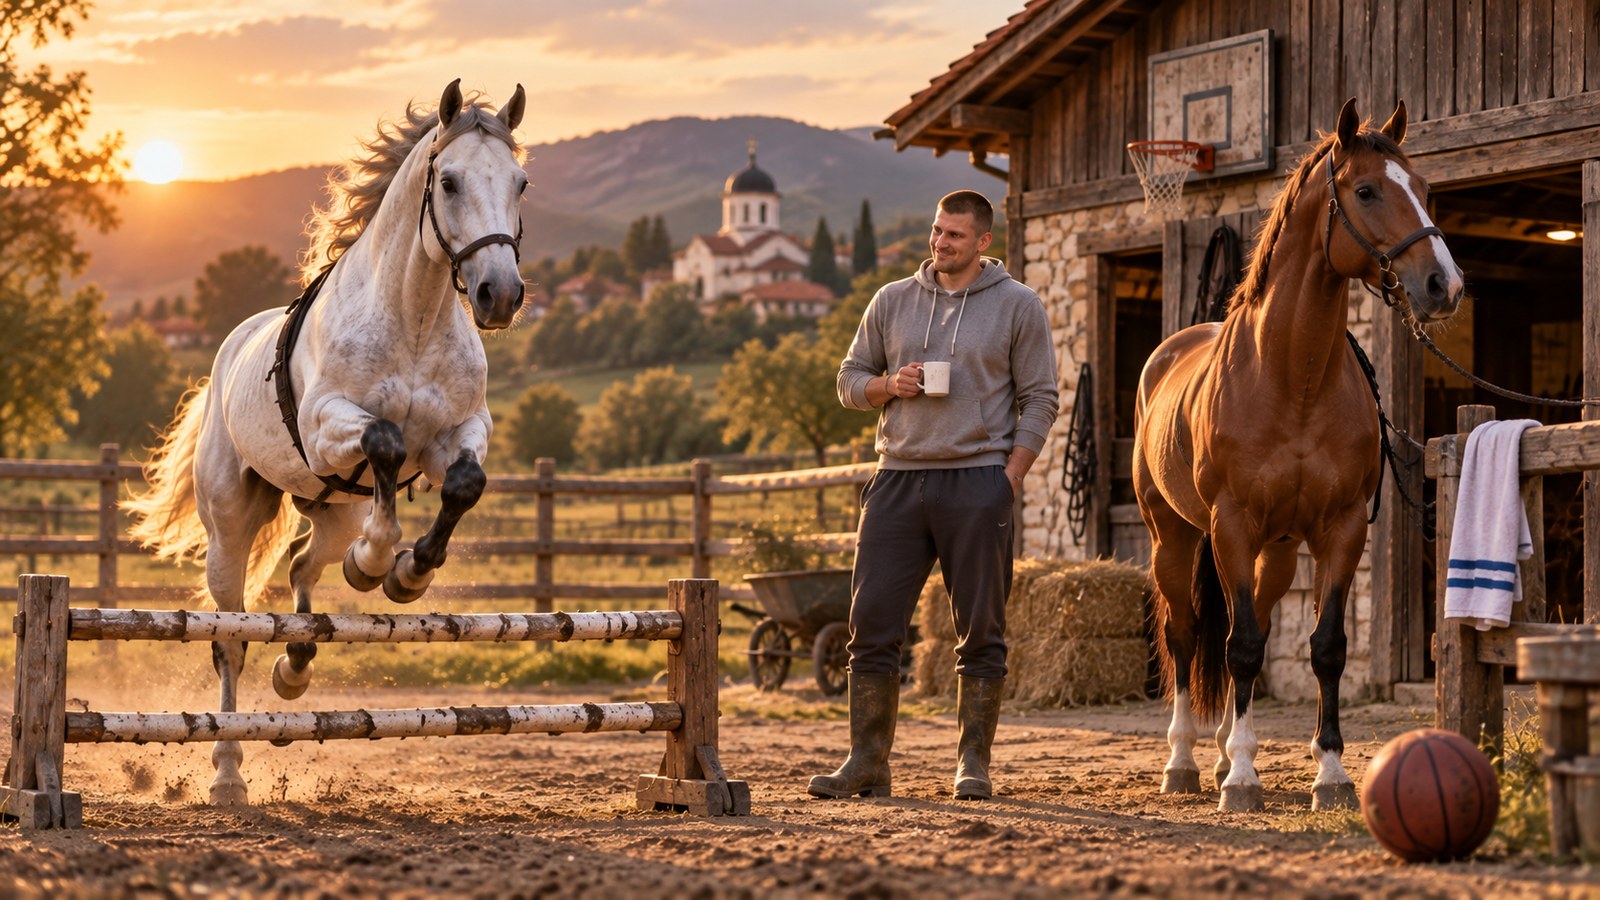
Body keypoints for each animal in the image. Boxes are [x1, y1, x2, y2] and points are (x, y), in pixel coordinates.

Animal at [124, 80, 528, 805]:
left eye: (521, 182)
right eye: (449, 182)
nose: (500, 295)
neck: (415, 316)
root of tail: (227, 348)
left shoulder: (458, 435)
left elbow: (463, 482)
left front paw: (406, 575)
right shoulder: (325, 427)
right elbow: (386, 441)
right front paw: (380, 560)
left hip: (332, 510)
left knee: (302, 569)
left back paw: (298, 665)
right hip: (231, 527)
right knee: (231, 636)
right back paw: (228, 773)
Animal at [1132, 98, 1464, 813]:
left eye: (1424, 190)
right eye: (1365, 191)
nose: (1444, 285)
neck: (1292, 377)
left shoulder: (1340, 529)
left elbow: (1325, 648)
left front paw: (1329, 773)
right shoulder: (1231, 525)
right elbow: (1241, 648)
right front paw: (1243, 781)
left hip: (1278, 552)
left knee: (1246, 623)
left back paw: (1225, 749)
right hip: (1174, 536)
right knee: (1187, 634)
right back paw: (1186, 762)